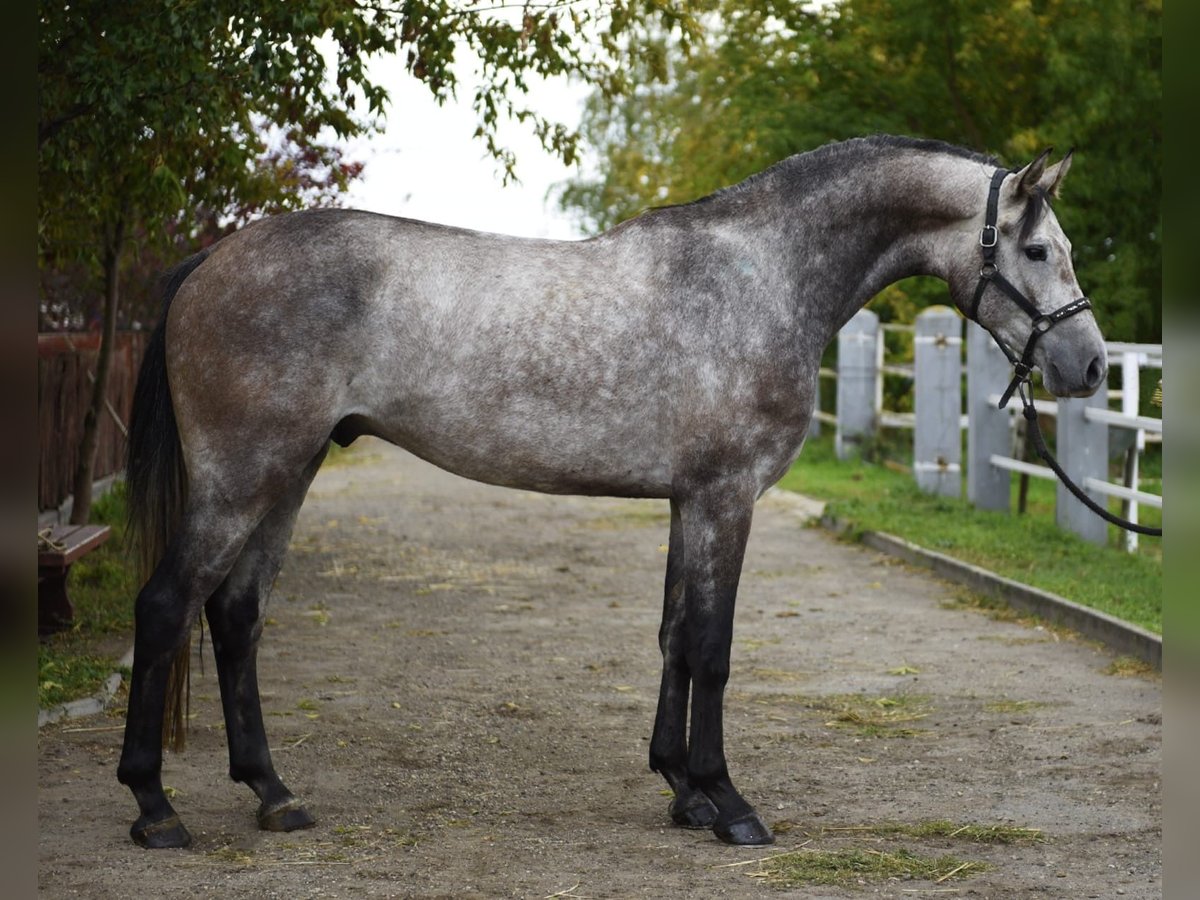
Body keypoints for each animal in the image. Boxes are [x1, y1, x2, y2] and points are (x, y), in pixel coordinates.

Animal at [118, 135, 1107, 849]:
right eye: (1036, 248)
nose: (1090, 366)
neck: (762, 278)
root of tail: (210, 260)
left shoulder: (688, 500)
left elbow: (673, 636)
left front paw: (682, 792)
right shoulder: (726, 497)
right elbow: (712, 648)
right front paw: (729, 804)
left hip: (288, 475)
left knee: (235, 615)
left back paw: (274, 794)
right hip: (244, 477)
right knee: (167, 605)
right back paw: (155, 810)